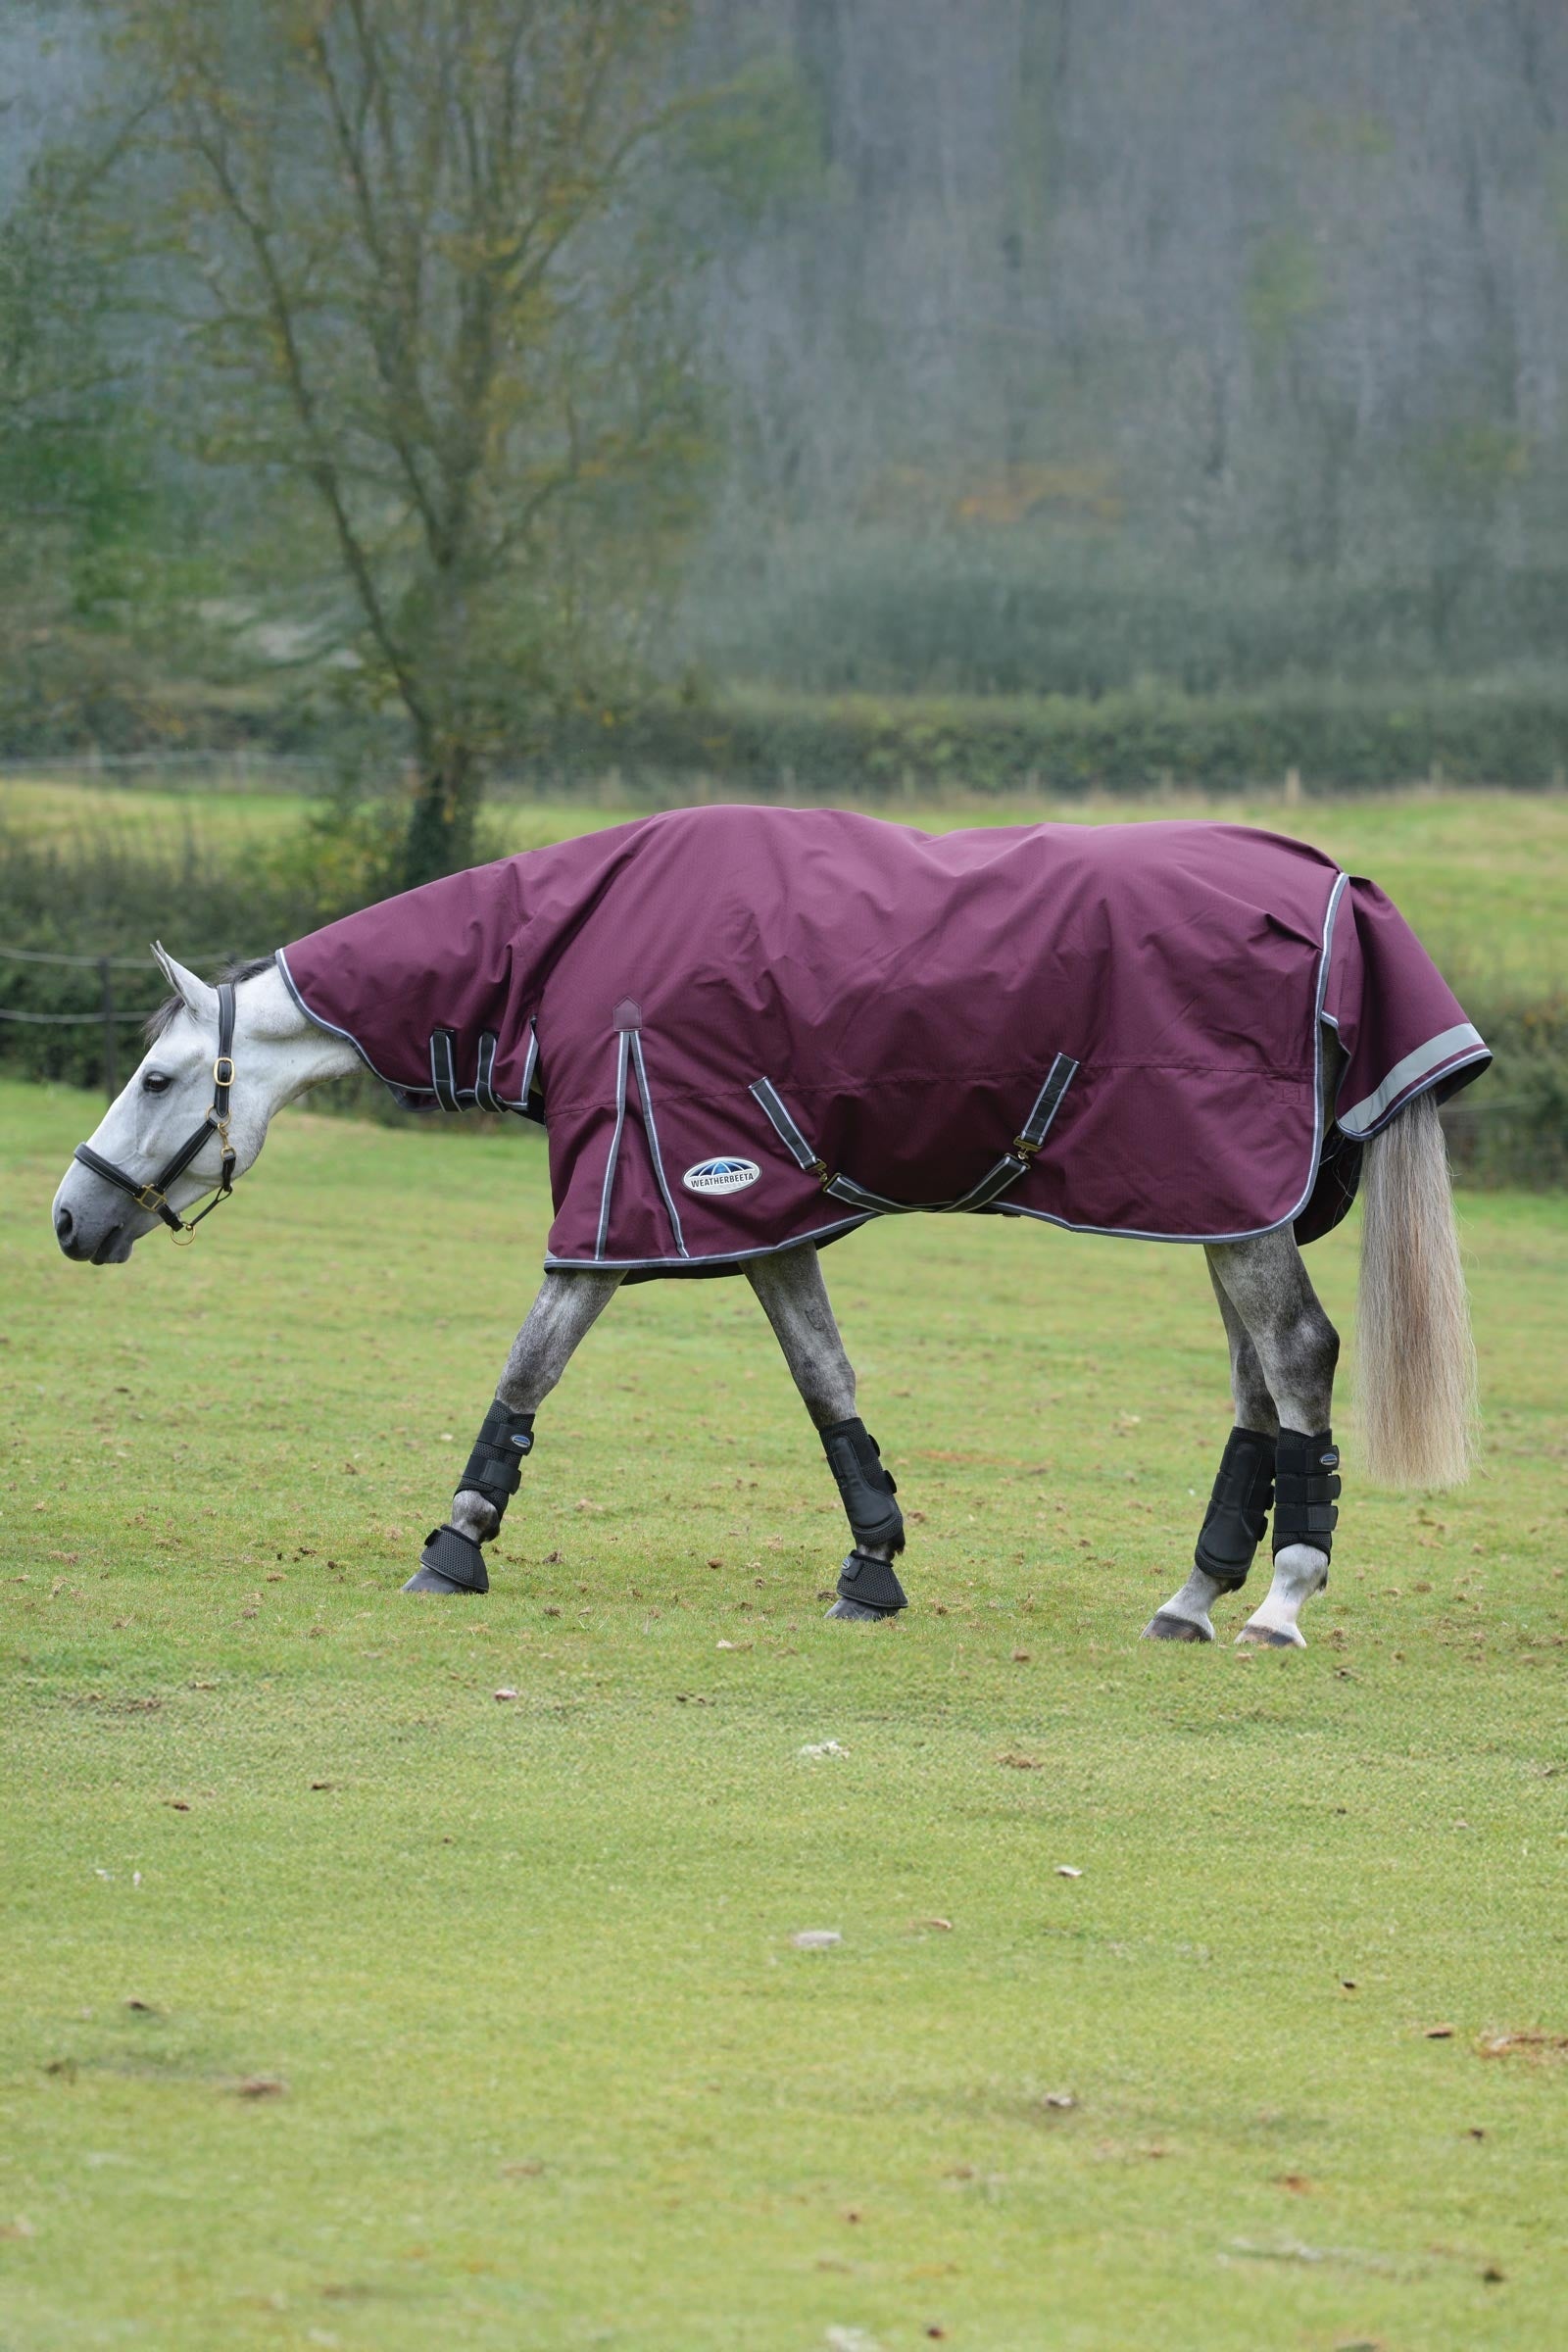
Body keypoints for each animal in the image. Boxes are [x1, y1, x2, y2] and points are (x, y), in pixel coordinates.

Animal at [51, 805, 1486, 1647]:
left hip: (1230, 1206)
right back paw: (1193, 1595)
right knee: (1257, 1382)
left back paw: (1283, 1596)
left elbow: (529, 1366)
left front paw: (454, 1544)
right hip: (1220, 1203)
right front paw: (873, 1566)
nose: (69, 1218)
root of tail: (1334, 888)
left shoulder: (629, 1202)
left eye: (159, 1079)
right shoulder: (751, 1221)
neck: (572, 949)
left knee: (1296, 1359)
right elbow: (826, 1383)